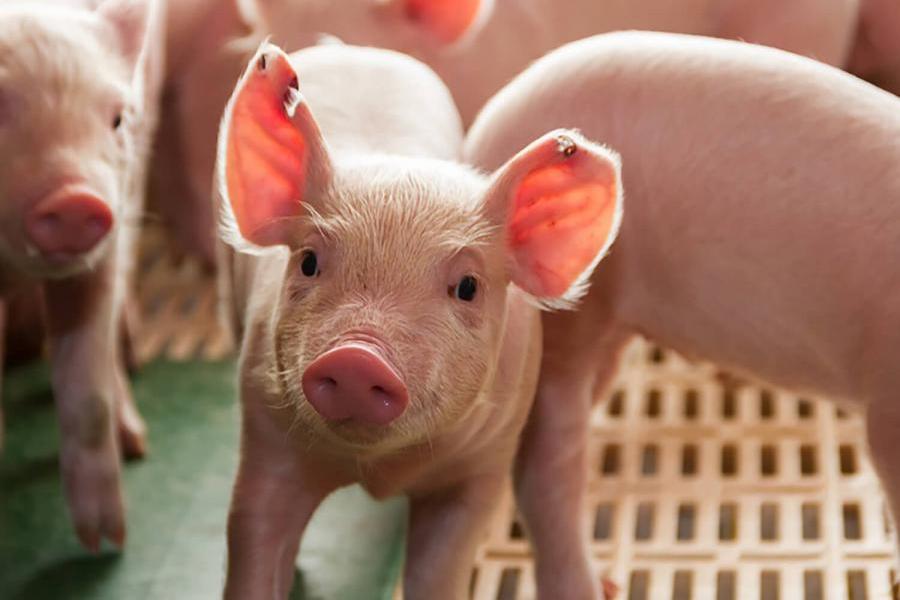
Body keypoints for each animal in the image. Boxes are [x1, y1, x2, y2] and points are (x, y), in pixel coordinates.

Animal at [0, 0, 164, 550]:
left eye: (115, 118)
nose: (75, 199)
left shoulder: (104, 253)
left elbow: (87, 390)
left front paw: (105, 541)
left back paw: (135, 439)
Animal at [216, 41, 622, 599]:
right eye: (309, 261)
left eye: (468, 286)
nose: (357, 356)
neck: (379, 471)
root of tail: (352, 48)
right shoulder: (265, 429)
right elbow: (252, 532)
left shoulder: (482, 466)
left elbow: (439, 567)